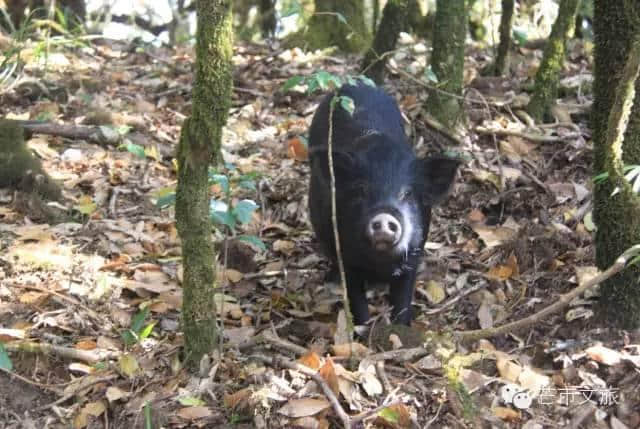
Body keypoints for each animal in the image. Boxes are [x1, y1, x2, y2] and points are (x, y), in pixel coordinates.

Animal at [308, 83, 458, 324]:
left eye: (407, 193)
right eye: (361, 190)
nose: (385, 214)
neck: (379, 264)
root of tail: (354, 83)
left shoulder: (414, 253)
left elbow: (403, 299)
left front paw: (400, 328)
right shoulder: (347, 260)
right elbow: (356, 300)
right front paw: (363, 329)